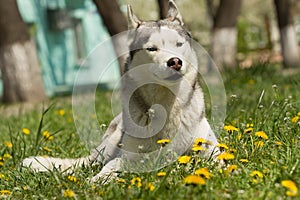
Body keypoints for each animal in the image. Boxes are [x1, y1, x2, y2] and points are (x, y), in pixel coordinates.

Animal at [21, 0, 219, 183]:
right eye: (151, 48)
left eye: (179, 44)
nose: (175, 62)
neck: (167, 106)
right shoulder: (129, 155)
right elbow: (113, 164)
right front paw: (99, 179)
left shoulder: (211, 150)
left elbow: (219, 161)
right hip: (108, 145)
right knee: (90, 162)